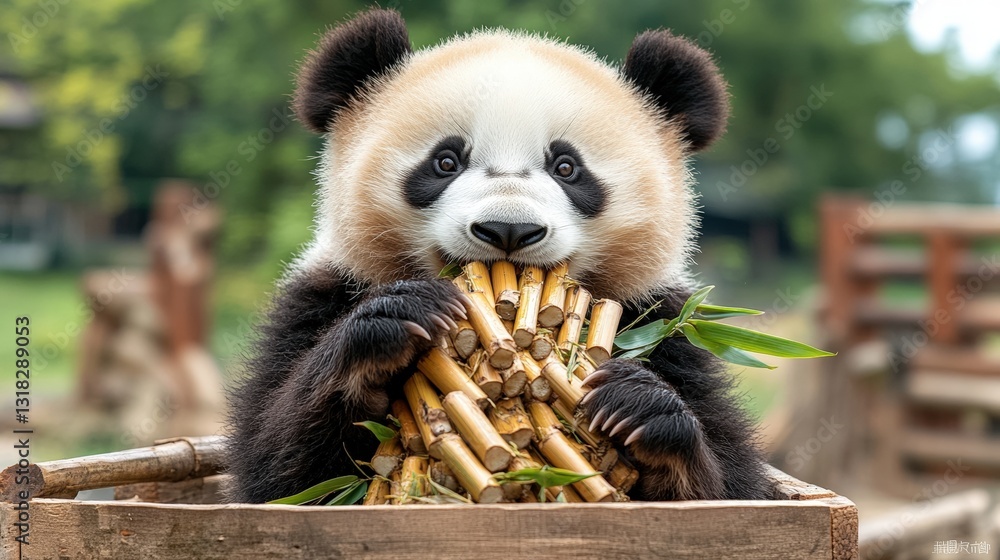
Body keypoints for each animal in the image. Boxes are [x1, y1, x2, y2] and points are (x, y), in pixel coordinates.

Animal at [227, 8, 774, 504]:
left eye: (567, 167)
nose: (508, 228)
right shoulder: (323, 294)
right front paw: (399, 317)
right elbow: (280, 470)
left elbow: (733, 487)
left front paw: (638, 406)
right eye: (446, 161)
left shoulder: (663, 325)